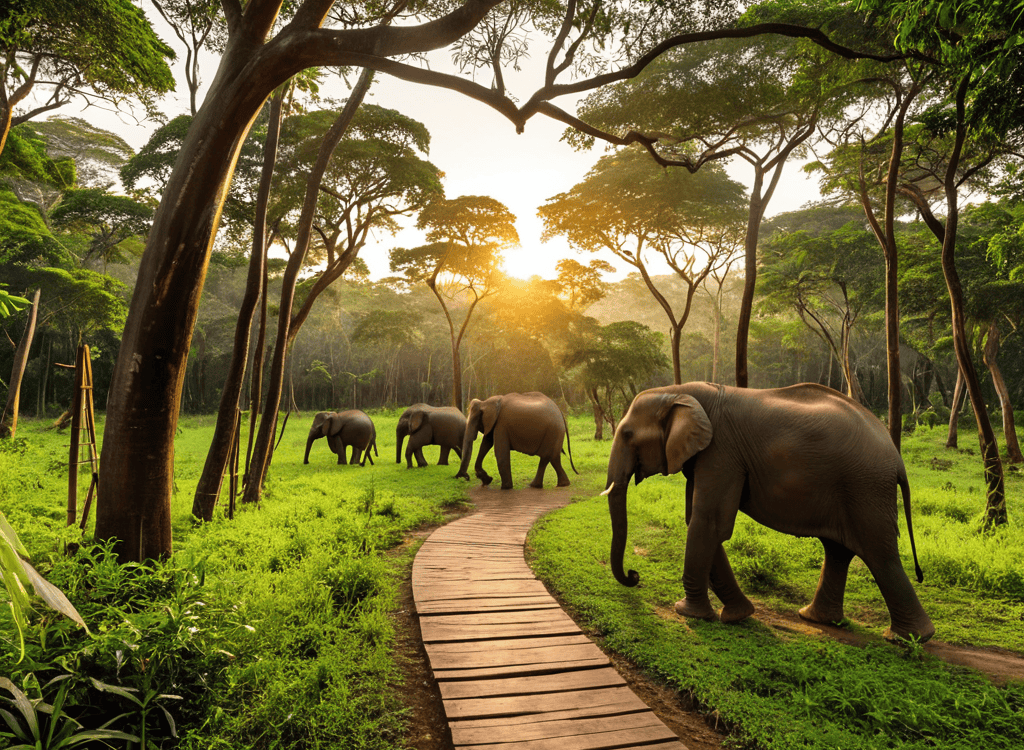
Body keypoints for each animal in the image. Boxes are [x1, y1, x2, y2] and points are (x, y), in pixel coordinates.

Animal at [603, 382, 934, 643]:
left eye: (628, 434)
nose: (634, 575)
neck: (679, 391)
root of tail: (896, 457)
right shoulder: (706, 457)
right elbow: (700, 521)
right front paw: (739, 615)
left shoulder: (721, 452)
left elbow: (708, 523)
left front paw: (688, 613)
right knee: (839, 550)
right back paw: (817, 619)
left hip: (866, 487)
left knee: (880, 554)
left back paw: (910, 638)